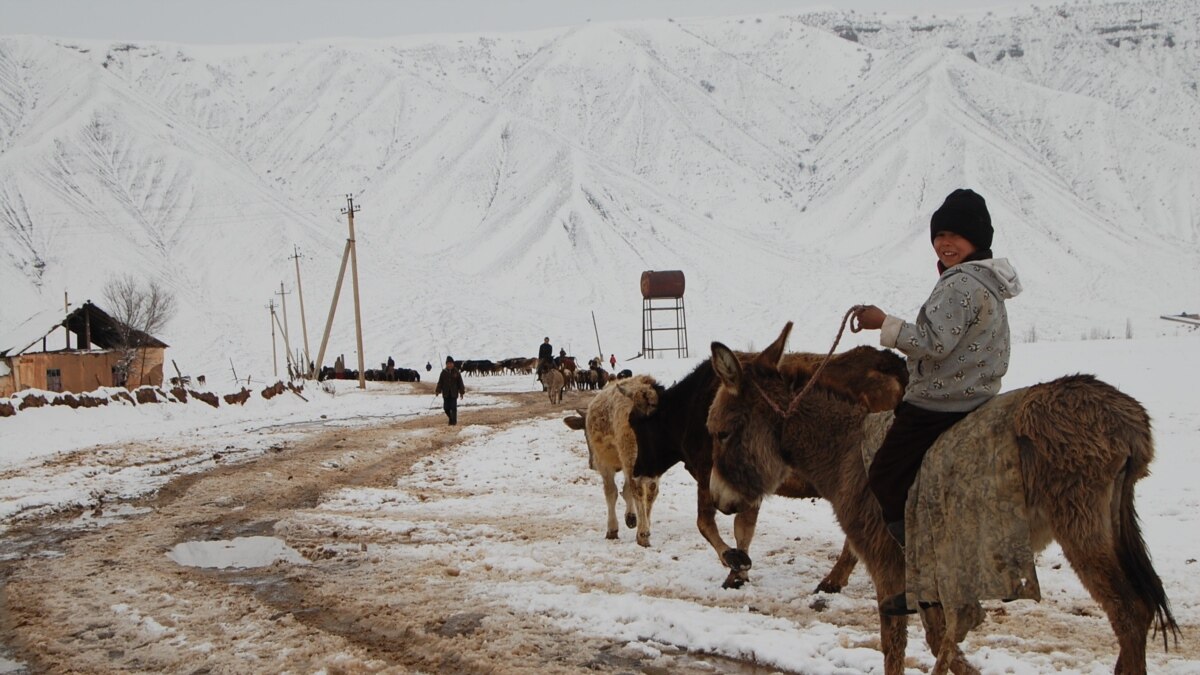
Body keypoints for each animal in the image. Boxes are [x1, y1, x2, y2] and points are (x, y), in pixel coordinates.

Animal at [628, 345, 902, 588]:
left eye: (637, 424)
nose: (637, 470)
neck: (691, 408)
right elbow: (743, 528)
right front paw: (738, 571)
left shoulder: (710, 473)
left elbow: (706, 523)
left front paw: (734, 563)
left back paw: (832, 581)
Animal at [705, 321, 1176, 672]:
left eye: (721, 433)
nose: (720, 501)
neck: (842, 450)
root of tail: (1131, 420)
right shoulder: (923, 570)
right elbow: (936, 639)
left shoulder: (888, 564)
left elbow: (897, 644)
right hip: (1108, 520)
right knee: (1138, 613)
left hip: (1080, 524)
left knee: (1129, 614)